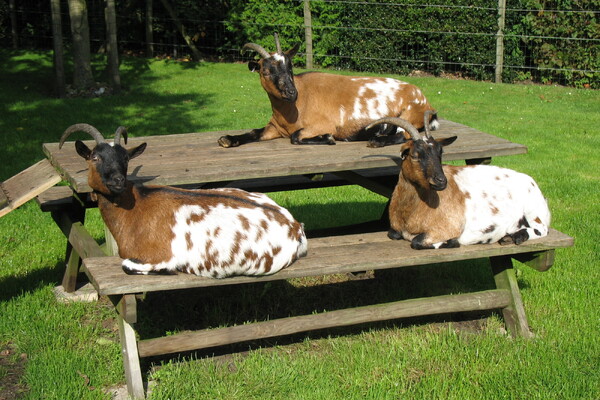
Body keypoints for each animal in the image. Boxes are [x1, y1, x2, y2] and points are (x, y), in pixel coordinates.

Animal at [58, 123, 308, 276]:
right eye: (95, 157)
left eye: (126, 158)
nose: (118, 180)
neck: (134, 210)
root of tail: (295, 227)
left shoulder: (159, 256)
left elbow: (128, 265)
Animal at [218, 33, 438, 148]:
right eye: (265, 71)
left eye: (290, 67)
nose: (291, 93)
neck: (293, 109)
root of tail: (426, 102)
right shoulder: (274, 127)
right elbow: (254, 132)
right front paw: (227, 139)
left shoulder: (323, 124)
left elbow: (295, 137)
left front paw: (328, 138)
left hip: (408, 115)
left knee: (405, 135)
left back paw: (376, 141)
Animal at [364, 114, 552, 248]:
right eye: (415, 155)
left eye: (440, 152)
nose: (441, 181)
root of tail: (531, 182)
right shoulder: (395, 230)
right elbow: (393, 234)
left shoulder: (448, 227)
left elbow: (417, 242)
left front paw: (452, 242)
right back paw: (508, 237)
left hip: (533, 211)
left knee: (542, 230)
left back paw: (514, 237)